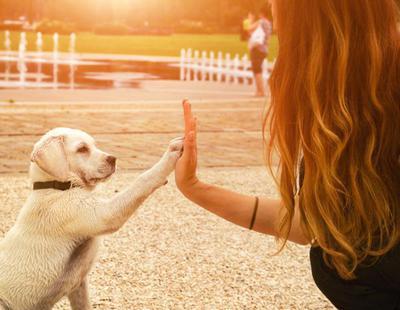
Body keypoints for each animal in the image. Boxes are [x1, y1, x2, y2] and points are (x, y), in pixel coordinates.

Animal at [0, 127, 184, 308]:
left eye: (94, 145)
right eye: (82, 149)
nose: (113, 159)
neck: (55, 187)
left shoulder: (78, 285)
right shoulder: (101, 214)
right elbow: (142, 180)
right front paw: (171, 153)